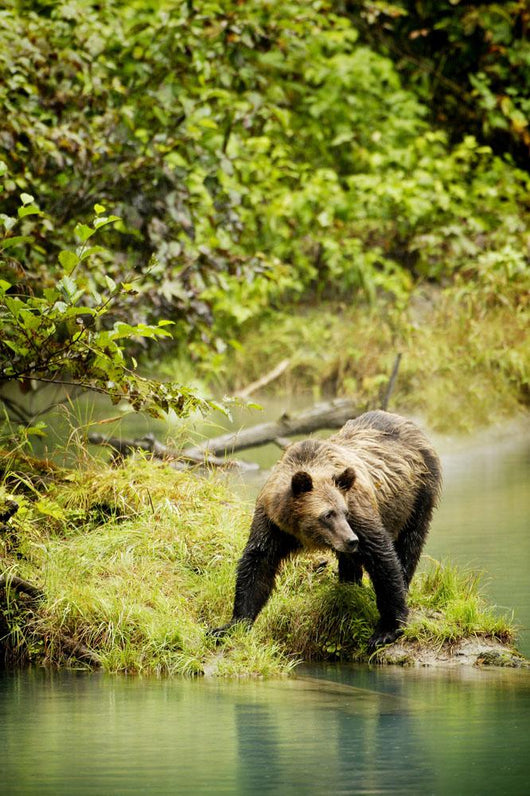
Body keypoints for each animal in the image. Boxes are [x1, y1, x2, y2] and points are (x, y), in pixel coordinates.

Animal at [212, 410, 442, 651]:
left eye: (344, 512)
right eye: (327, 514)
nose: (352, 540)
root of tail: (406, 422)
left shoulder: (359, 512)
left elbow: (382, 557)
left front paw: (387, 629)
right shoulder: (272, 523)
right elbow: (258, 563)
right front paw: (230, 625)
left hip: (418, 494)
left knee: (410, 541)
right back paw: (349, 583)